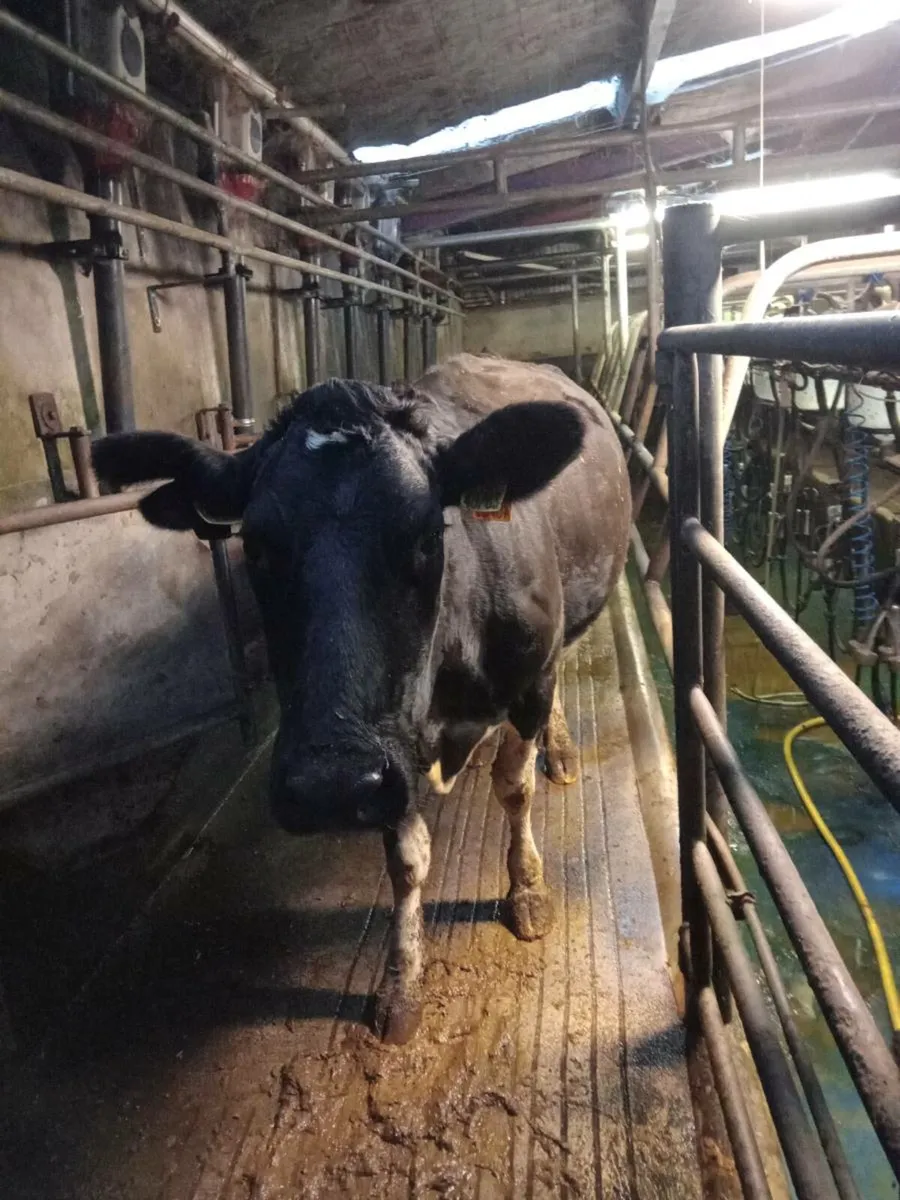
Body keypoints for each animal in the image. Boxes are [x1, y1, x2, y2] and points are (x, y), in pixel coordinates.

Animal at [91, 353, 631, 1045]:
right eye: (255, 546)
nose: (330, 784)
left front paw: (527, 888)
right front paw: (401, 984)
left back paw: (557, 751)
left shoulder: (528, 676)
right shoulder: (388, 748)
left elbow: (514, 789)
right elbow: (406, 858)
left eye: (428, 536)